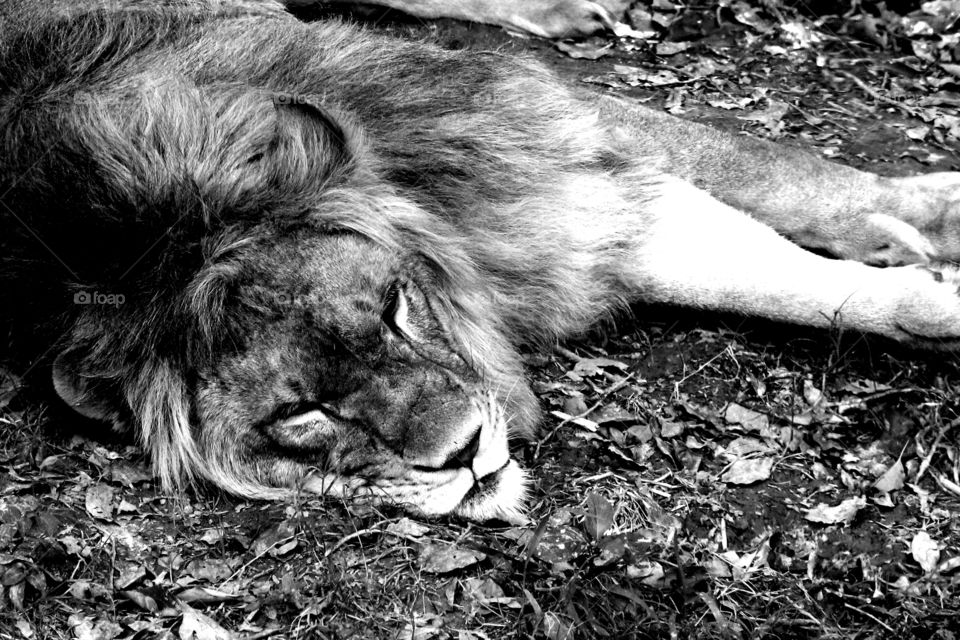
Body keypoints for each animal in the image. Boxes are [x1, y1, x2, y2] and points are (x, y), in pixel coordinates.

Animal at [1, 0, 960, 524]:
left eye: (395, 307)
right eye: (303, 412)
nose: (462, 454)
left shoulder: (548, 150)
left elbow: (777, 183)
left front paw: (929, 231)